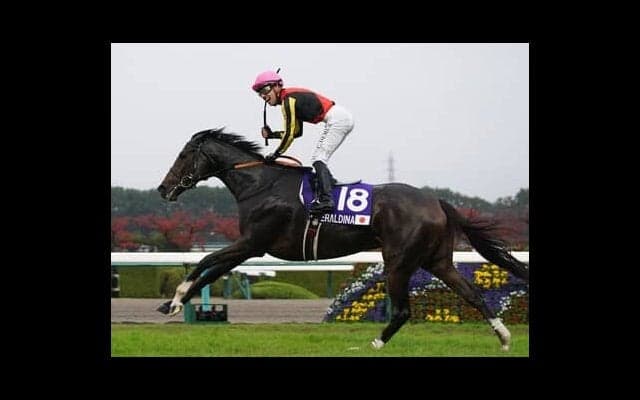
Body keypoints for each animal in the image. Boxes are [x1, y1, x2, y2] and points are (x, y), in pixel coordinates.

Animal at [156, 128, 529, 351]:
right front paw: (172, 303)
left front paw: (175, 299)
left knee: (403, 311)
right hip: (437, 260)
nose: (163, 188)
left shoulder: (253, 243)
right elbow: (211, 271)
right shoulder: (249, 248)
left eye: (183, 155)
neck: (261, 184)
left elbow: (206, 260)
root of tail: (436, 201)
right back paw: (504, 336)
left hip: (399, 261)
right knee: (474, 295)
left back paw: (373, 345)